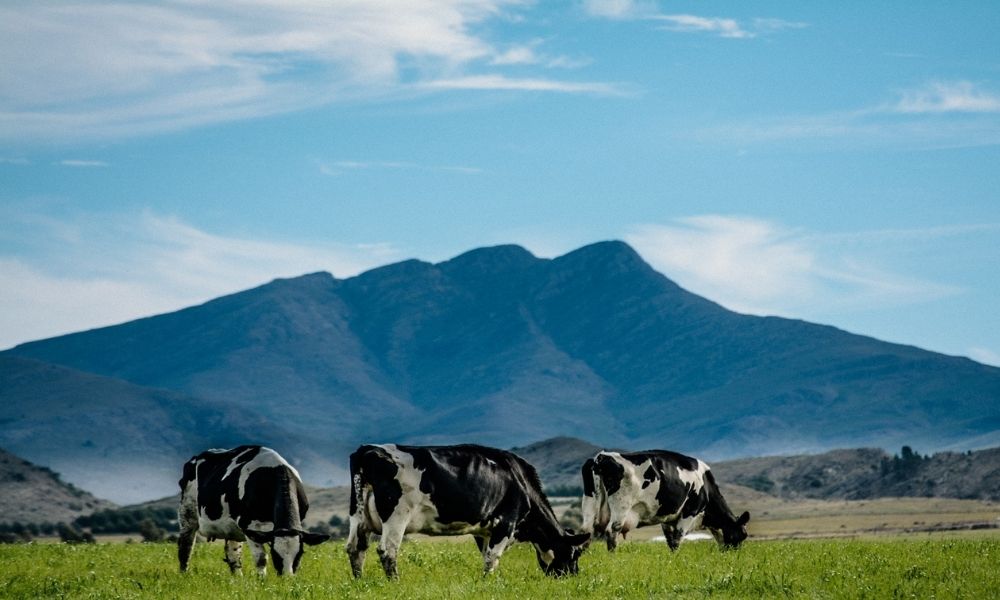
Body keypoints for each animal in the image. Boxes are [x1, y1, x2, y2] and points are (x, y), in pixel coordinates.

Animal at [178, 446, 330, 576]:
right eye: (275, 554)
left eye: (300, 554)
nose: (287, 577)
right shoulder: (249, 525)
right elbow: (261, 558)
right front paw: (261, 581)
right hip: (187, 512)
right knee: (186, 546)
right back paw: (184, 574)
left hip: (231, 527)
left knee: (233, 553)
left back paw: (238, 579)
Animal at [348, 442, 588, 580]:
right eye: (575, 554)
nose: (573, 577)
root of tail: (367, 449)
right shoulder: (506, 522)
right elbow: (493, 557)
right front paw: (487, 583)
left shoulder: (484, 530)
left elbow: (486, 556)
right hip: (397, 514)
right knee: (387, 550)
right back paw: (396, 583)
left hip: (358, 516)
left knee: (355, 548)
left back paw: (360, 583)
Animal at [580, 450, 752, 552]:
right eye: (742, 535)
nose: (734, 553)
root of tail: (601, 457)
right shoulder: (690, 512)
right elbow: (677, 539)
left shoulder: (667, 516)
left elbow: (669, 539)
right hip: (621, 506)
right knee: (611, 531)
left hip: (590, 501)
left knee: (586, 531)